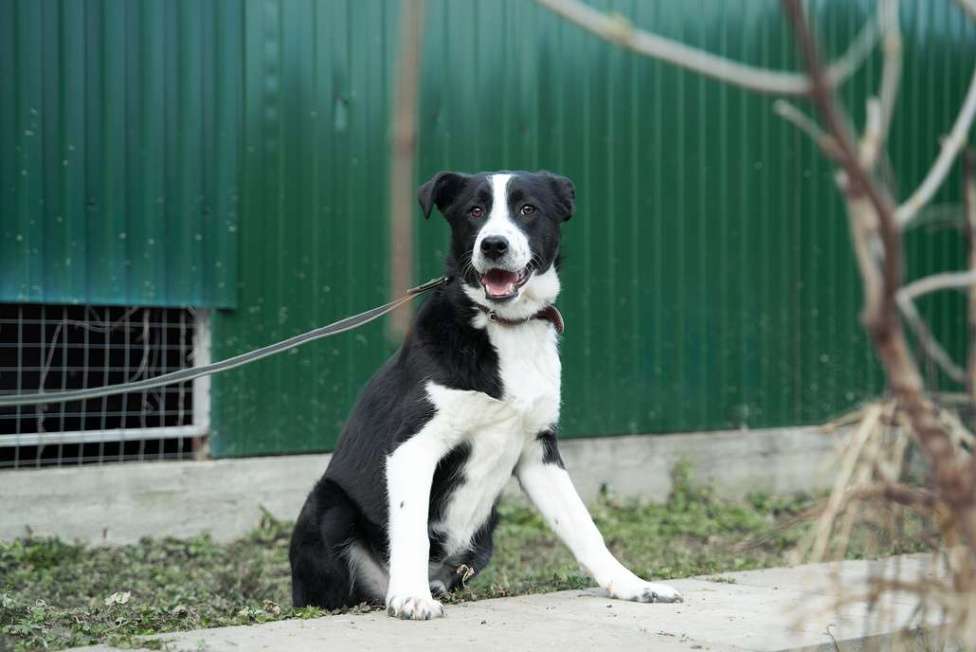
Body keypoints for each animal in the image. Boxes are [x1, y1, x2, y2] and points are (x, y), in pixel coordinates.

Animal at [290, 171, 680, 620]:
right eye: (474, 211)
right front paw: (410, 596)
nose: (494, 245)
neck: (505, 328)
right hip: (326, 506)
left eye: (528, 209)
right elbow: (411, 528)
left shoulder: (539, 450)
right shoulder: (412, 446)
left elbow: (583, 526)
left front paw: (633, 585)